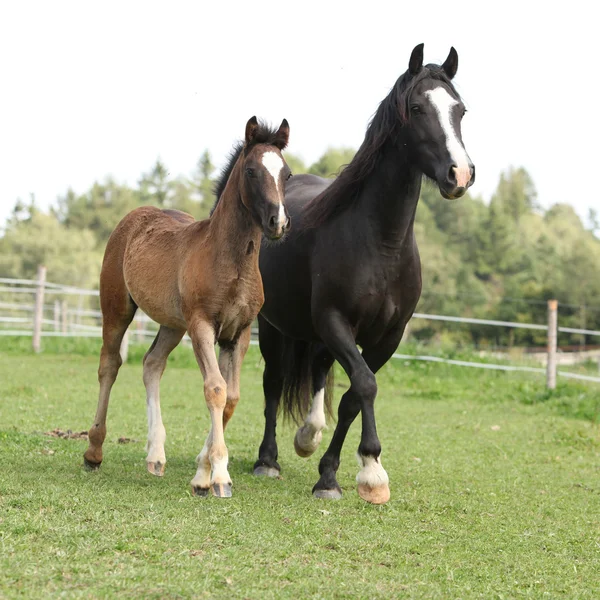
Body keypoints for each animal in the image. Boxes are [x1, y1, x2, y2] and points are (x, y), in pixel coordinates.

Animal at [84, 117, 290, 496]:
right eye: (251, 171)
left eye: (287, 174)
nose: (278, 222)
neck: (230, 262)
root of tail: (135, 215)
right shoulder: (202, 326)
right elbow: (215, 389)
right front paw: (219, 477)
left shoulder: (238, 333)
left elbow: (231, 397)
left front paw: (202, 473)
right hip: (117, 308)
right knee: (110, 365)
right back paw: (94, 451)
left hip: (172, 323)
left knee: (152, 364)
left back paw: (155, 456)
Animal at [248, 43, 474, 502]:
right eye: (418, 108)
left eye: (459, 110)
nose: (459, 174)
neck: (382, 243)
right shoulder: (336, 322)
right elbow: (365, 385)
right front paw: (370, 472)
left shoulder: (389, 335)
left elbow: (354, 394)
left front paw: (339, 472)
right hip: (273, 326)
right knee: (274, 382)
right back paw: (268, 460)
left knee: (318, 372)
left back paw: (309, 435)